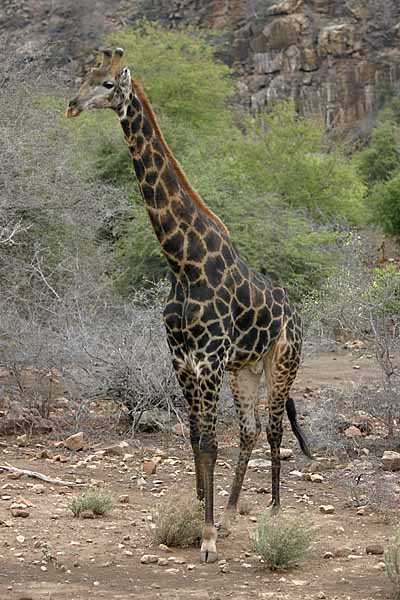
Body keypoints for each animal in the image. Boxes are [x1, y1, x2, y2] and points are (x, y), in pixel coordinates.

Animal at [66, 47, 312, 564]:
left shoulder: (208, 360)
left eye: (106, 83)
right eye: (84, 76)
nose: (72, 105)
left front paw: (208, 538)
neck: (184, 263)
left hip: (283, 362)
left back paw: (274, 513)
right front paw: (202, 511)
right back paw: (235, 510)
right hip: (245, 370)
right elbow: (197, 440)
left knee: (275, 431)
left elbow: (210, 443)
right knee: (250, 430)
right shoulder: (182, 359)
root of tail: (298, 314)